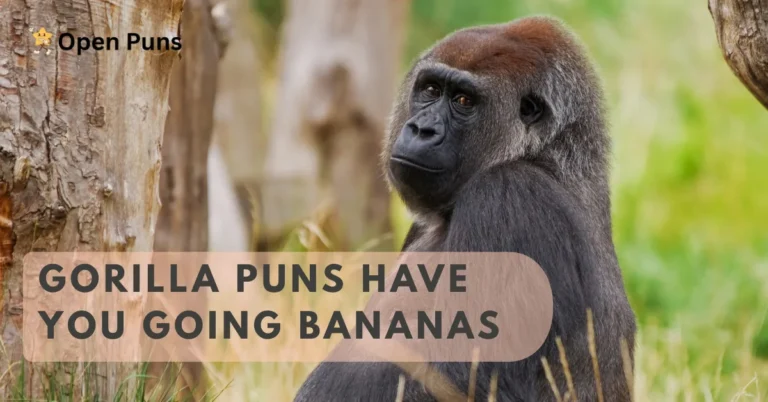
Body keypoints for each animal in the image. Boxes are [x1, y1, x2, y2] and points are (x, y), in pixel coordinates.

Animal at [294, 16, 636, 402]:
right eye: (430, 90)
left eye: (462, 100)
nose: (421, 129)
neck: (546, 154)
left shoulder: (508, 199)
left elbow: (470, 379)